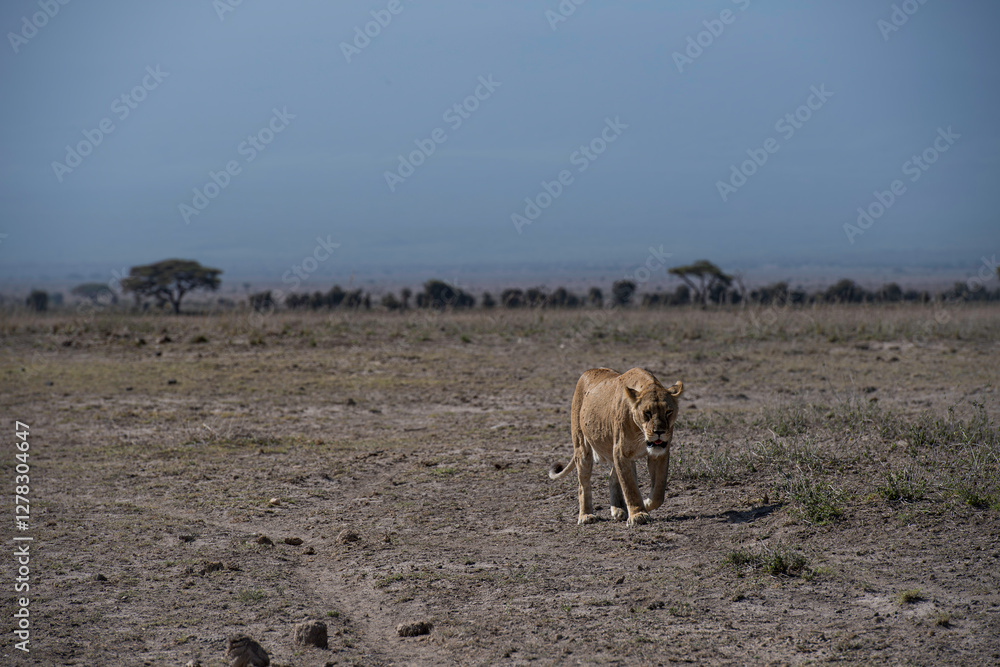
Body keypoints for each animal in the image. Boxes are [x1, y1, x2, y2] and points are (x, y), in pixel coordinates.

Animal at [549, 368, 683, 526]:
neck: (640, 432)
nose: (659, 432)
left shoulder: (660, 452)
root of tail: (588, 371)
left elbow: (658, 491)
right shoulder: (621, 452)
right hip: (581, 446)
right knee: (584, 484)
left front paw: (645, 504)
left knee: (613, 476)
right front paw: (638, 514)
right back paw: (586, 516)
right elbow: (630, 486)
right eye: (647, 413)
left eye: (668, 412)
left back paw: (618, 510)